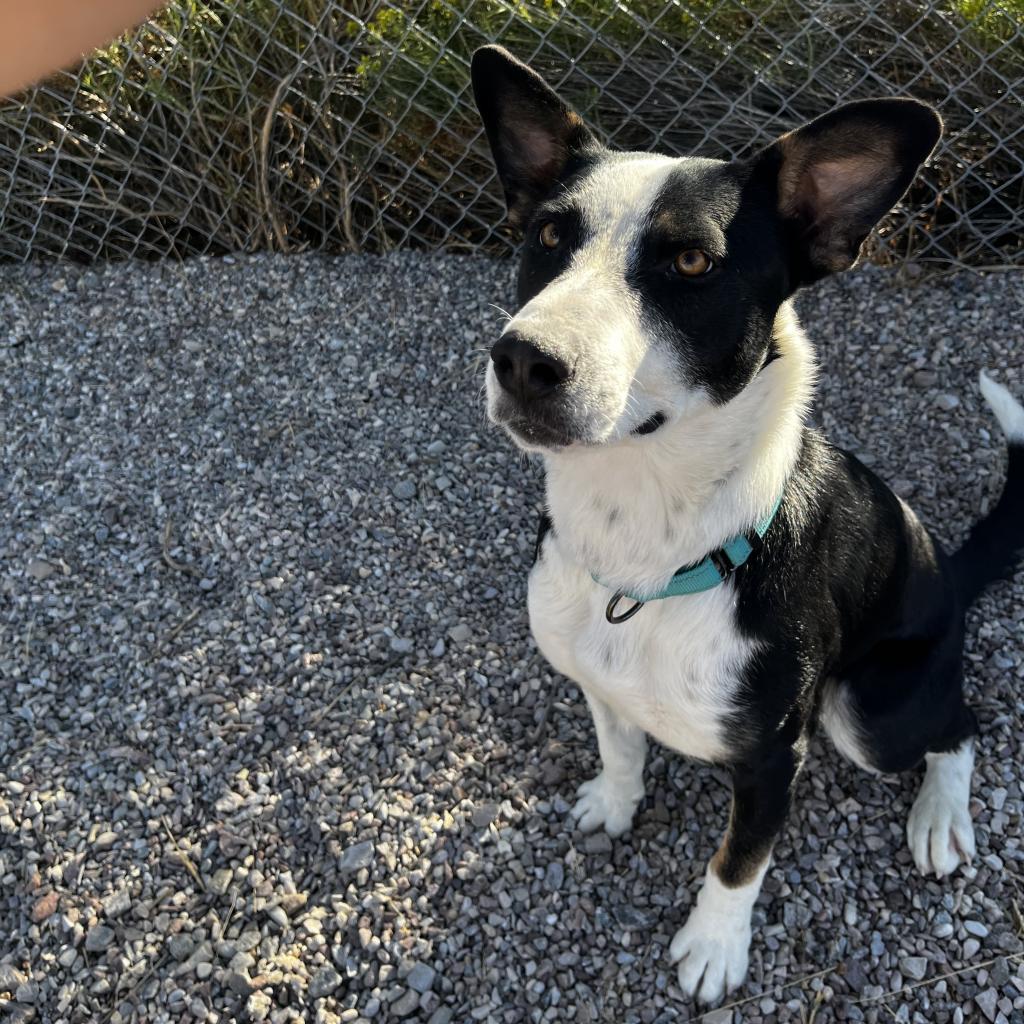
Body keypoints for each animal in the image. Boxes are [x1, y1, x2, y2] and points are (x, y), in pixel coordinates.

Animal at [471, 44, 1024, 1003]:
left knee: (959, 727)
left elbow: (739, 860)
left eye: (693, 262)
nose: (523, 360)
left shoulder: (774, 758)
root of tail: (949, 576)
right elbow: (620, 750)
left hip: (869, 713)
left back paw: (939, 817)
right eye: (546, 238)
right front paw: (614, 802)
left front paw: (713, 945)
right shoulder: (599, 682)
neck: (649, 550)